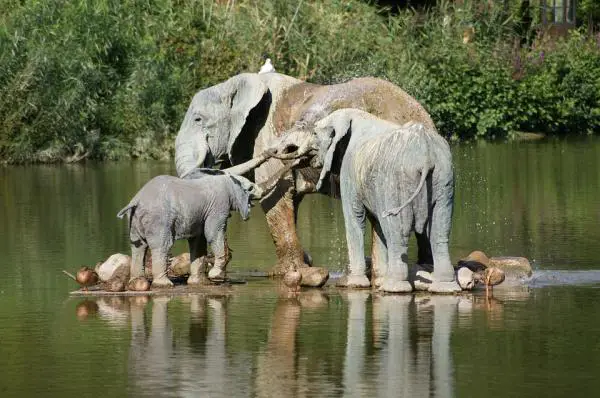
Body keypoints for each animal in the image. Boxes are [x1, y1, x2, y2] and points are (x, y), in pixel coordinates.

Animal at [117, 173, 262, 288]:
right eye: (251, 188)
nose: (261, 192)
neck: (229, 180)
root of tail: (137, 200)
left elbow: (198, 240)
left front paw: (198, 283)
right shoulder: (219, 206)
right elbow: (212, 234)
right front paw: (215, 275)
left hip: (134, 220)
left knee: (138, 247)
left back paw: (137, 284)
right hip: (158, 219)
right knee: (162, 245)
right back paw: (164, 285)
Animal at [173, 71, 436, 276]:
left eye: (198, 119)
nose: (215, 262)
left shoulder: (264, 135)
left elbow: (275, 200)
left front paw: (285, 272)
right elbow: (291, 200)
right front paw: (303, 265)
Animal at [272, 109, 460, 292]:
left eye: (314, 133)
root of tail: (426, 152)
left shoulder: (349, 170)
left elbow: (355, 218)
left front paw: (354, 284)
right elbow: (377, 225)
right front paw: (377, 281)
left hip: (397, 182)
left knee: (398, 231)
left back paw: (394, 287)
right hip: (444, 178)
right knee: (439, 231)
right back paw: (445, 287)